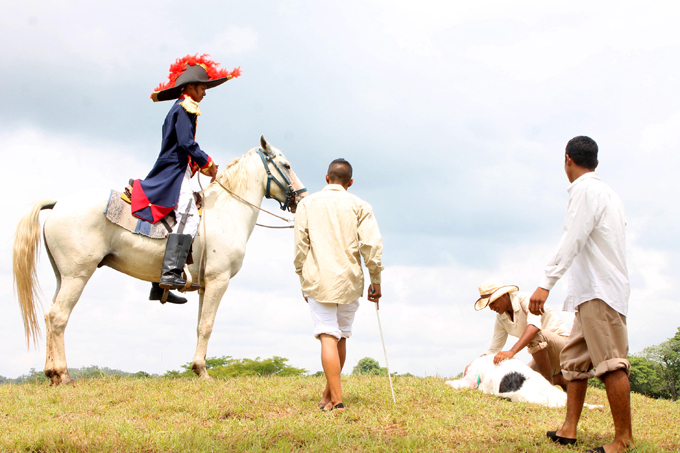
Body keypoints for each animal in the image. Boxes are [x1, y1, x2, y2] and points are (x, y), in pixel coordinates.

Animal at [13, 136, 306, 384]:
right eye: (287, 165)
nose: (302, 197)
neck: (226, 212)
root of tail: (58, 204)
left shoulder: (205, 286)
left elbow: (200, 324)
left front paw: (198, 367)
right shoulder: (218, 280)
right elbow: (207, 326)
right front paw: (202, 370)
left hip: (62, 276)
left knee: (49, 315)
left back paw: (51, 373)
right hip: (77, 275)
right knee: (59, 316)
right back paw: (62, 375)